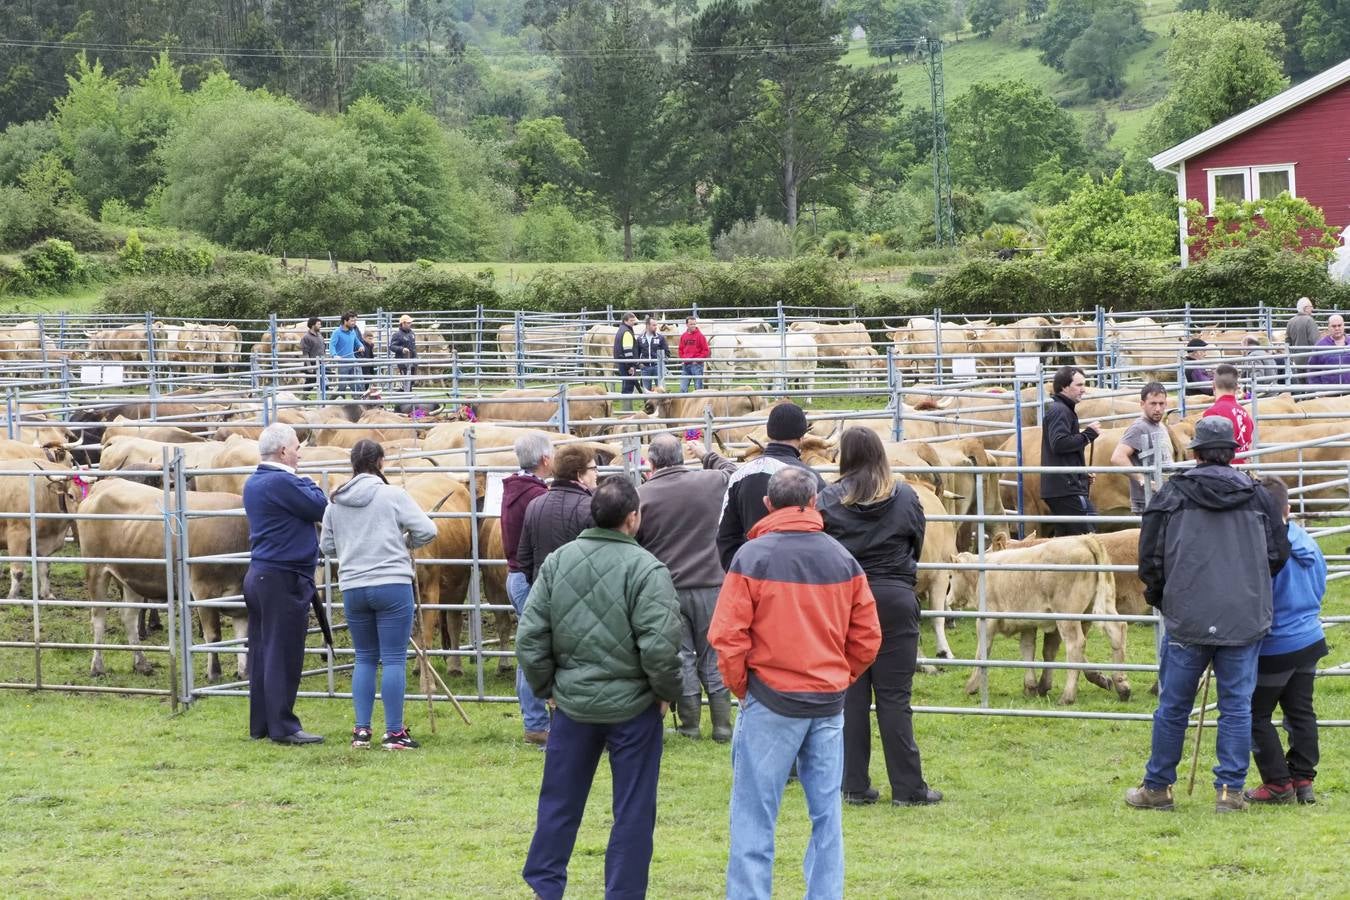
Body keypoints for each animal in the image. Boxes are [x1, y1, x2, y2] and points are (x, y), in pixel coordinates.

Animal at [76, 477, 252, 682]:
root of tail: (106, 482)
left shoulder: (241, 600)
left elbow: (243, 638)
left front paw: (244, 673)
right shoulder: (203, 590)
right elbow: (214, 636)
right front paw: (214, 673)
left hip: (132, 576)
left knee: (128, 616)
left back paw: (142, 664)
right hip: (96, 569)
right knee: (98, 618)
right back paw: (97, 667)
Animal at [950, 531, 1128, 707]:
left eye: (951, 576)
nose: (949, 599)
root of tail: (1084, 539)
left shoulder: (987, 620)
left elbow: (982, 651)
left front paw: (971, 686)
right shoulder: (1028, 623)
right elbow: (1029, 649)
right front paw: (1031, 686)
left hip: (1067, 616)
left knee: (1076, 645)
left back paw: (1068, 696)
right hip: (1102, 605)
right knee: (1117, 631)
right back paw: (1122, 685)